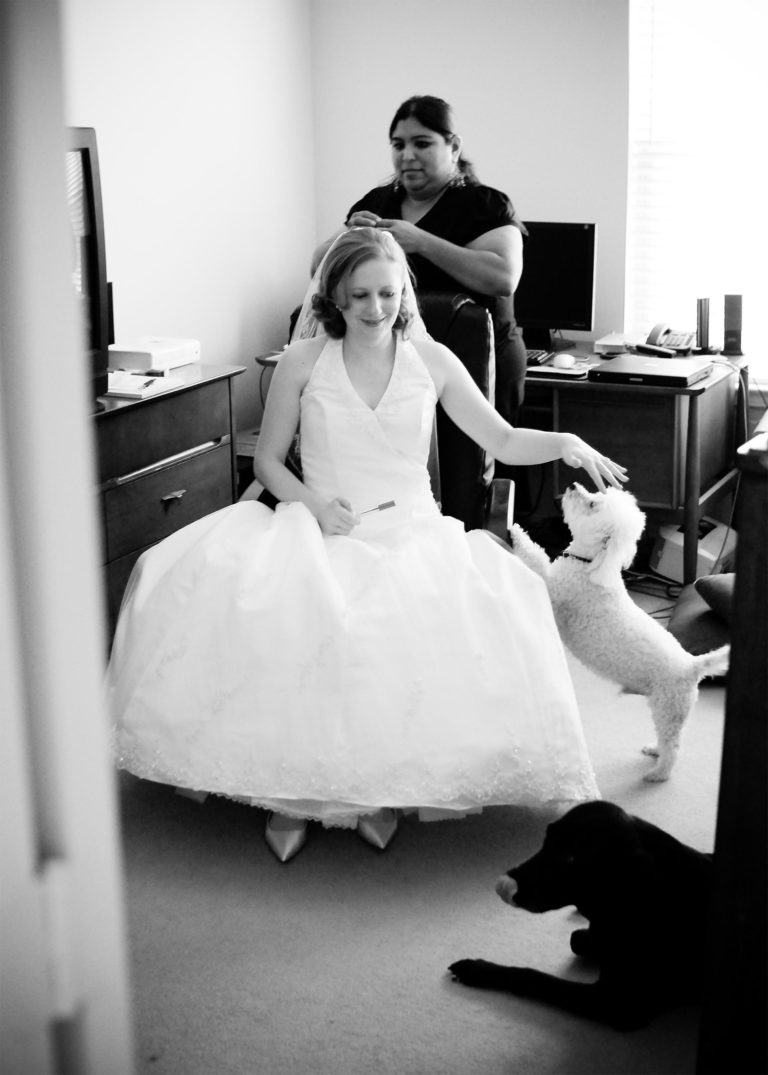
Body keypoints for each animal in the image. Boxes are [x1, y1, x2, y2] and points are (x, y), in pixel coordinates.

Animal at [449, 804, 709, 1027]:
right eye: (546, 840)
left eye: (571, 858)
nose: (505, 884)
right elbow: (577, 938)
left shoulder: (618, 1002)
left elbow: (533, 976)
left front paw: (477, 969)